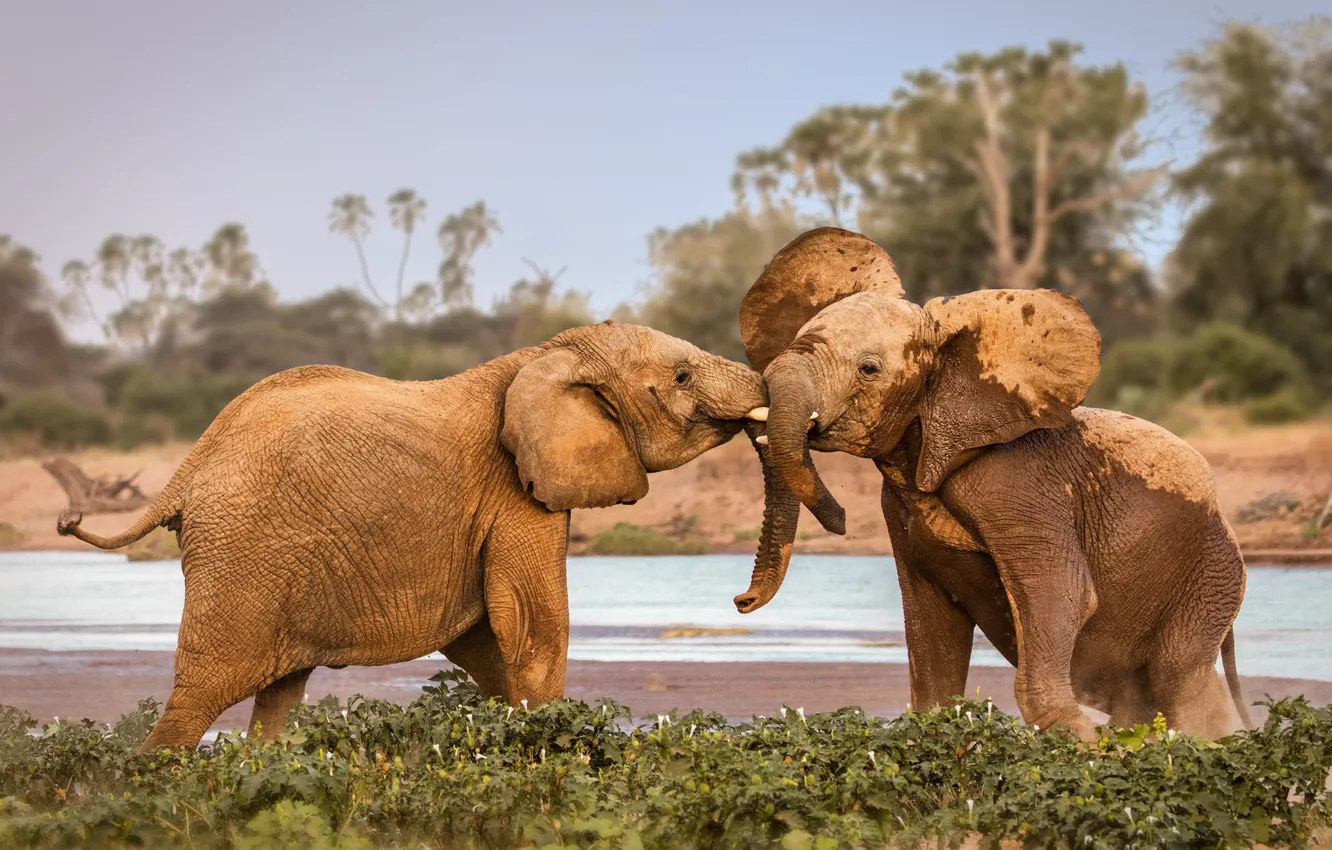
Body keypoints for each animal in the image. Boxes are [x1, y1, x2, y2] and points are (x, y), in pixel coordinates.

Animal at [59, 321, 772, 751]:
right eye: (681, 377)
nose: (740, 602)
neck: (550, 353)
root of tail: (185, 470)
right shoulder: (514, 488)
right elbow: (532, 624)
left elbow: (487, 640)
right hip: (242, 556)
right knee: (201, 693)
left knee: (279, 694)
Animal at [735, 229, 1252, 740]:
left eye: (868, 368)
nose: (742, 601)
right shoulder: (898, 508)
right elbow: (929, 618)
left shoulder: (1019, 487)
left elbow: (1060, 592)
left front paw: (1082, 739)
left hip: (1211, 576)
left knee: (1179, 677)